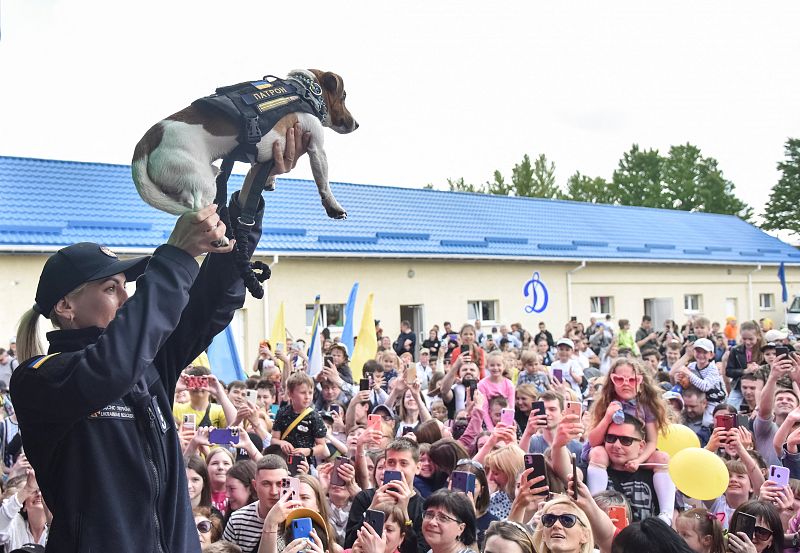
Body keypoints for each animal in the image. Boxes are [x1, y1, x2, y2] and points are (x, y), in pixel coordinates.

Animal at [133, 70, 358, 221]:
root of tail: (148, 138)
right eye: (344, 96)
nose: (356, 124)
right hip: (200, 179)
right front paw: (334, 207)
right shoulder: (317, 149)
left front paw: (270, 179)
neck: (303, 91)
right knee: (196, 206)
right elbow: (324, 184)